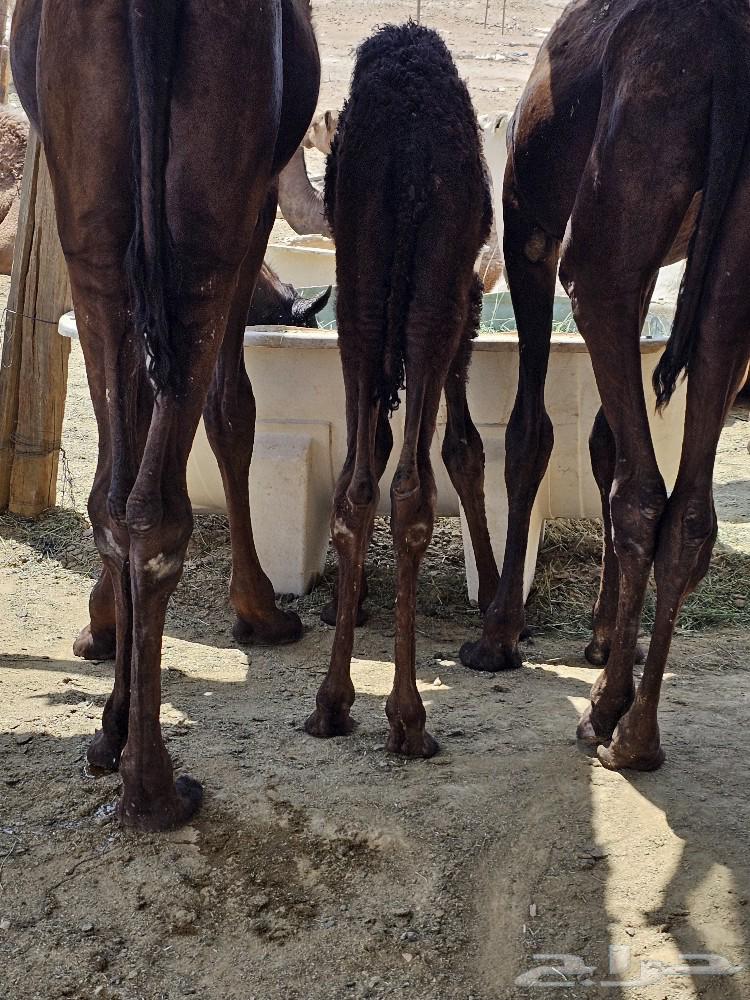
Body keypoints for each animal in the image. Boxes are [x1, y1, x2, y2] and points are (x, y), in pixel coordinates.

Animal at [11, 0, 321, 830]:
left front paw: (100, 637)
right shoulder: (259, 201)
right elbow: (232, 409)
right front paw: (259, 610)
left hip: (94, 225)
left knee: (118, 500)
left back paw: (118, 743)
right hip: (205, 228)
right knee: (157, 501)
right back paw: (153, 789)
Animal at [305, 23, 498, 756]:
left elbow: (374, 451)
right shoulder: (463, 305)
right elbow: (465, 448)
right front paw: (496, 615)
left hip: (362, 287)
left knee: (360, 489)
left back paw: (334, 704)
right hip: (435, 297)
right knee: (412, 487)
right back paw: (409, 720)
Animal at [460, 0, 750, 772]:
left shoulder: (529, 231)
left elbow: (531, 436)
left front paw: (498, 634)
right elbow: (602, 443)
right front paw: (599, 636)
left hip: (601, 234)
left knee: (642, 491)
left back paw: (609, 715)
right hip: (733, 260)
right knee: (687, 502)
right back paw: (638, 730)